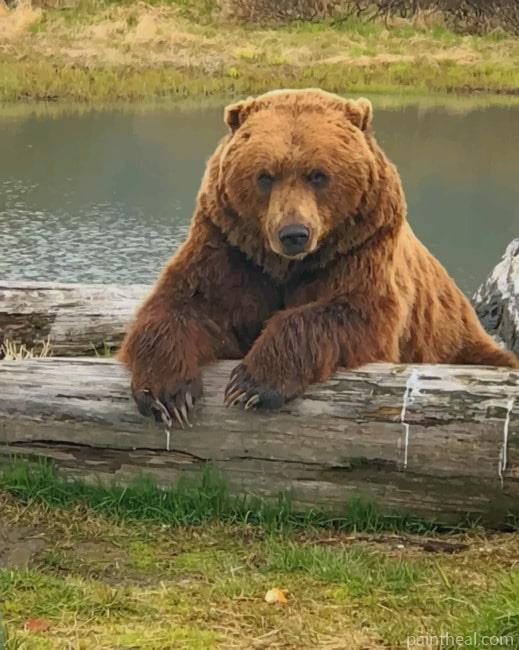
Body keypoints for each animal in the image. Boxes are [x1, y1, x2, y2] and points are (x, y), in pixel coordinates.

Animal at [119, 88, 519, 427]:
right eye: (265, 176)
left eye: (318, 175)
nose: (294, 233)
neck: (284, 265)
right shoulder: (230, 249)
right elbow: (182, 304)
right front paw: (167, 394)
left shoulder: (359, 249)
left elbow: (349, 311)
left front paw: (252, 384)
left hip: (458, 344)